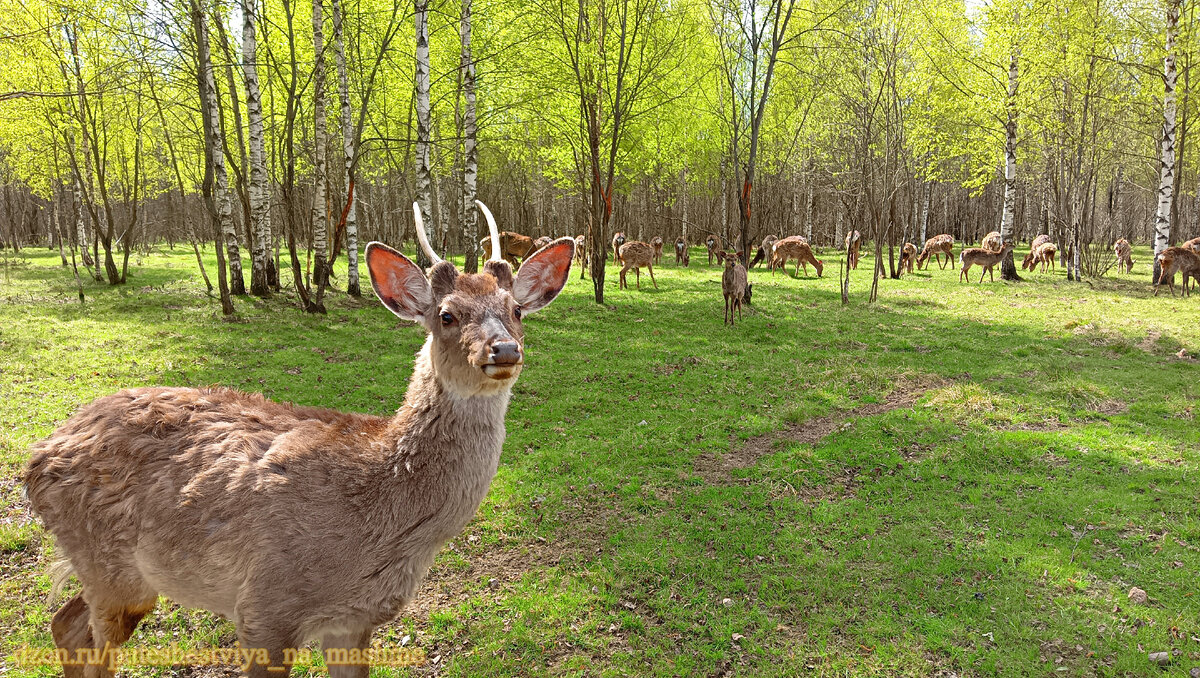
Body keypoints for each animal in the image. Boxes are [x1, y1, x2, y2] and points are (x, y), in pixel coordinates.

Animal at [22, 199, 576, 676]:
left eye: (516, 311)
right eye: (446, 314)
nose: (504, 350)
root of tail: (36, 457)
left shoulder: (354, 619)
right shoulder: (265, 605)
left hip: (118, 574)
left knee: (65, 624)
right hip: (108, 563)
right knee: (87, 639)